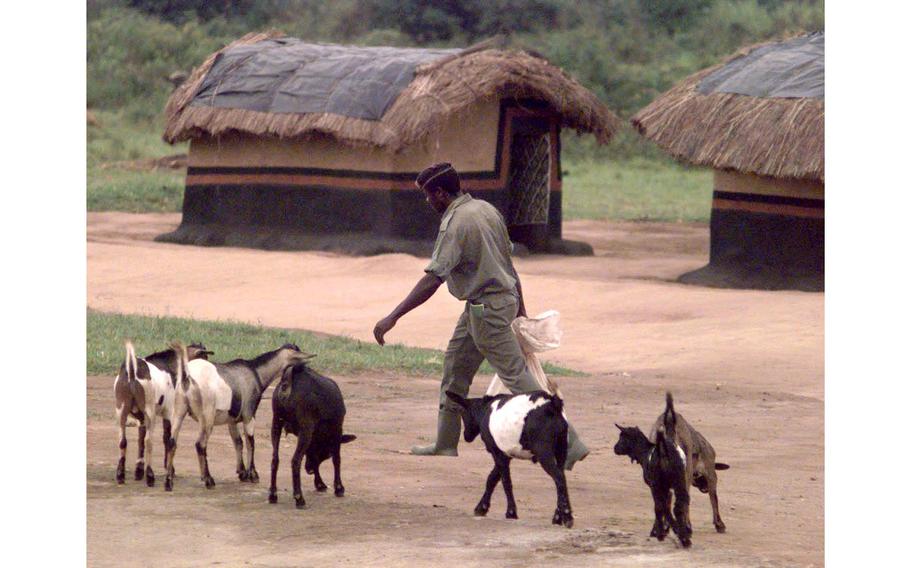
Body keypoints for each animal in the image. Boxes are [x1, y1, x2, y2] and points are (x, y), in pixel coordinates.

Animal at [113, 340, 212, 486]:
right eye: (204, 359)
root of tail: (132, 371)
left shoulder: (141, 418)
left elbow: (140, 439)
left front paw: (138, 471)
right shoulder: (169, 412)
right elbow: (166, 438)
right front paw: (170, 470)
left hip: (121, 411)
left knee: (123, 441)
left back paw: (120, 475)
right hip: (150, 412)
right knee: (149, 440)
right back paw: (150, 476)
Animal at [167, 344, 314, 490]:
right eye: (299, 363)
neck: (256, 373)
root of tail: (187, 377)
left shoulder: (232, 420)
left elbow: (238, 442)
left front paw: (242, 472)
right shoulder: (249, 413)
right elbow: (251, 442)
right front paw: (253, 474)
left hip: (179, 410)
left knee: (172, 442)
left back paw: (169, 481)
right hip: (207, 416)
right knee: (200, 444)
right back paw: (209, 479)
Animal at [268, 362, 356, 508]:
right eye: (326, 454)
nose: (308, 470)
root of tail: (288, 382)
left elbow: (313, 458)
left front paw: (320, 483)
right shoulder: (337, 430)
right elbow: (336, 459)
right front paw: (338, 488)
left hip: (276, 423)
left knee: (275, 459)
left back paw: (273, 495)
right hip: (306, 428)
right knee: (295, 461)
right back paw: (299, 498)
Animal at [446, 390, 572, 528]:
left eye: (462, 412)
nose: (466, 436)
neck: (485, 409)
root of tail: (552, 404)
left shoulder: (497, 453)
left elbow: (505, 482)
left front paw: (511, 512)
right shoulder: (504, 455)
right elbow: (492, 478)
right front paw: (481, 508)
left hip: (544, 454)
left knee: (558, 478)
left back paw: (567, 516)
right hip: (561, 452)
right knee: (561, 477)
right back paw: (558, 517)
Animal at [612, 392, 732, 548]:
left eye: (622, 438)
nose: (615, 448)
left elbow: (663, 505)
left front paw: (661, 530)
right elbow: (712, 498)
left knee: (675, 503)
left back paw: (679, 532)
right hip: (683, 477)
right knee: (681, 502)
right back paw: (684, 532)